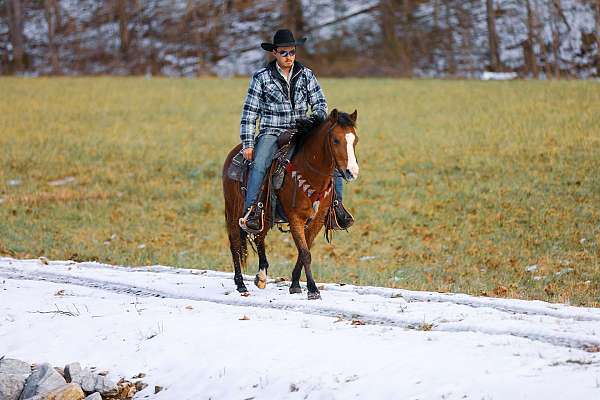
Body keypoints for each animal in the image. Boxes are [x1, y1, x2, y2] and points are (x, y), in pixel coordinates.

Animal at [223, 109, 358, 300]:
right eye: (336, 140)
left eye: (355, 140)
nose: (352, 172)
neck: (309, 173)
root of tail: (235, 152)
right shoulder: (295, 218)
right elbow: (306, 253)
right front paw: (313, 290)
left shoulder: (317, 221)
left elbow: (303, 250)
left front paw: (295, 284)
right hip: (233, 210)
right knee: (235, 243)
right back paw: (241, 285)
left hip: (264, 215)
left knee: (259, 236)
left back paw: (261, 276)